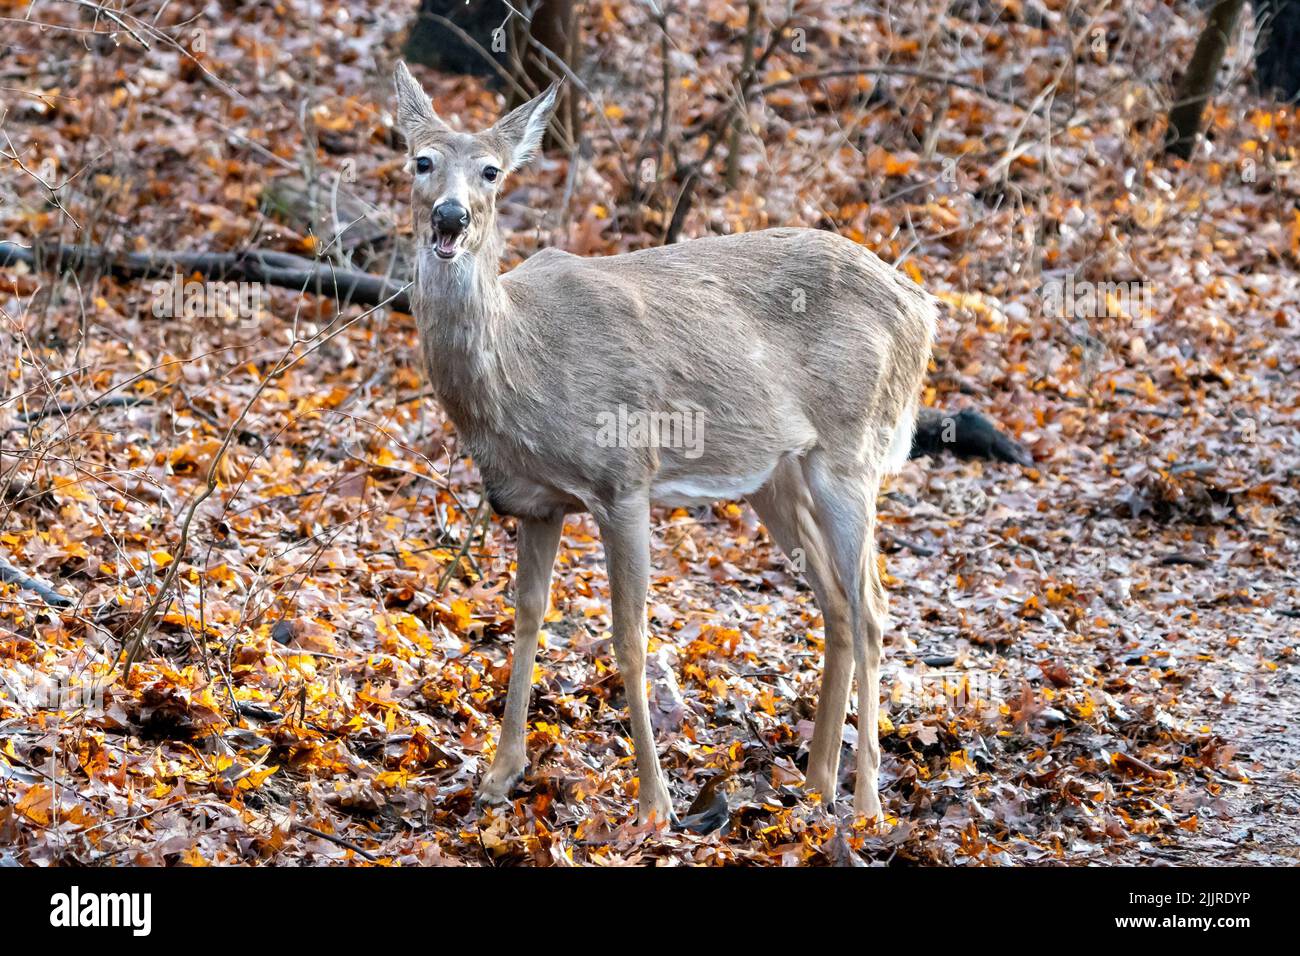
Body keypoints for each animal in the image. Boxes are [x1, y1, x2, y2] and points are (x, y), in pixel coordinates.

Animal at [392, 63, 935, 827]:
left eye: (493, 171)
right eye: (422, 160)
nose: (450, 217)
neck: (522, 365)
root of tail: (922, 307)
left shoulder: (624, 479)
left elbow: (629, 635)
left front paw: (654, 804)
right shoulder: (537, 502)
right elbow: (525, 617)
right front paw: (499, 776)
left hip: (852, 449)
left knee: (873, 608)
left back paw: (864, 805)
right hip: (777, 474)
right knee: (835, 602)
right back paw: (814, 785)